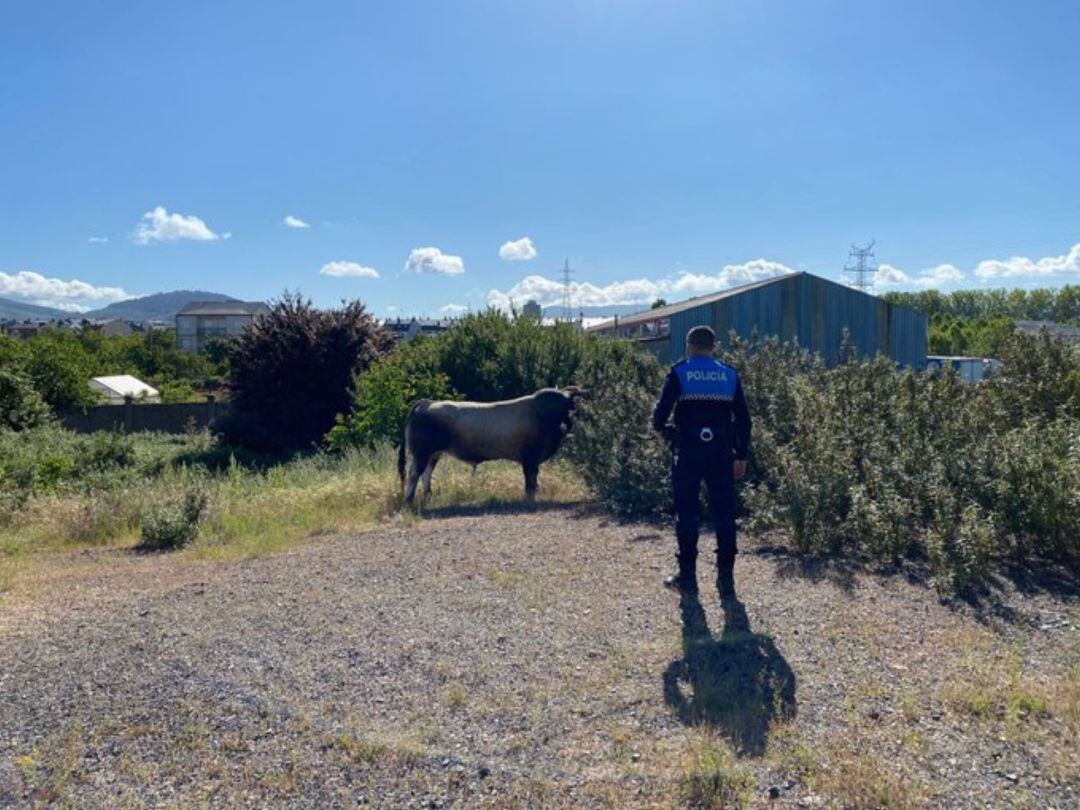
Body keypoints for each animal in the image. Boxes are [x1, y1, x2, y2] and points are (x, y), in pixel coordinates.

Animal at [397, 388, 583, 507]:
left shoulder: (531, 460)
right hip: (421, 453)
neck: (543, 414)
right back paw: (409, 500)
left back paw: (428, 496)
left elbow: (533, 479)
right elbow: (530, 479)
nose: (570, 421)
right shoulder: (530, 459)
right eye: (566, 407)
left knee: (426, 473)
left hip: (433, 454)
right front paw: (530, 498)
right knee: (414, 474)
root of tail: (427, 403)